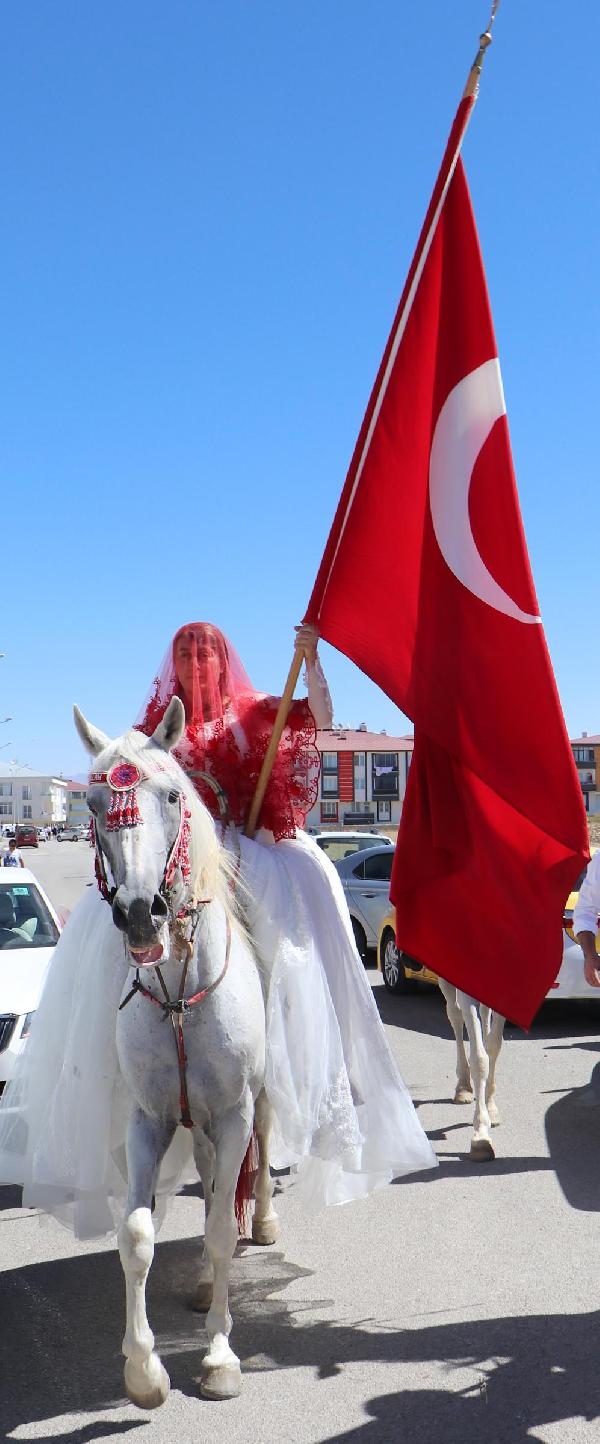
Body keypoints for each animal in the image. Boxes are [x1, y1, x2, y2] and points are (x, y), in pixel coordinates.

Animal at [74, 698, 278, 1409]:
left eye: (170, 794)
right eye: (92, 803)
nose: (141, 913)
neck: (180, 995)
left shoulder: (235, 1110)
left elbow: (218, 1231)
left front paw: (220, 1359)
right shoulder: (150, 1119)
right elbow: (137, 1236)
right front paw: (144, 1371)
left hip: (255, 1103)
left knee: (259, 1153)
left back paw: (264, 1222)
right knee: (215, 1177)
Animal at [435, 981, 507, 1160]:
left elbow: (493, 1045)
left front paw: (490, 1108)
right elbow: (479, 1059)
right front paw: (481, 1136)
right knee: (454, 1013)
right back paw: (463, 1088)